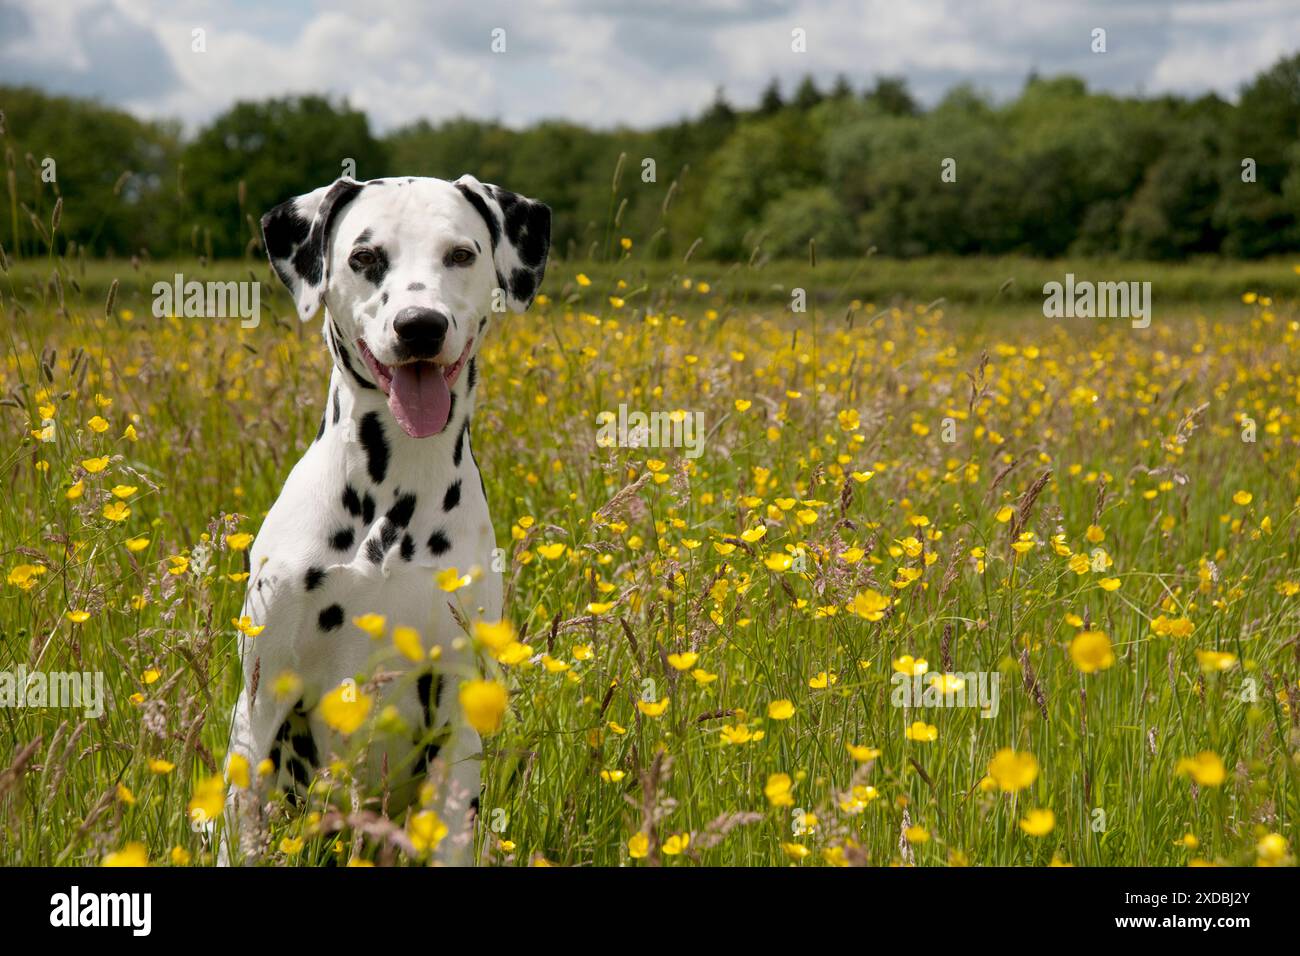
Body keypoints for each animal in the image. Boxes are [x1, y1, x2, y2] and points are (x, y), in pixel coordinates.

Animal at [223, 174, 548, 868]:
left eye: (461, 253)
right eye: (365, 257)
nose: (419, 325)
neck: (390, 507)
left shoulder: (457, 714)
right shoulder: (262, 705)